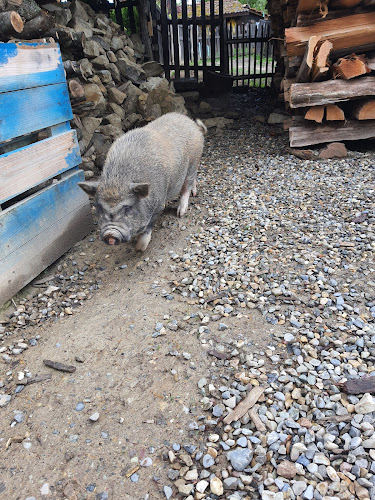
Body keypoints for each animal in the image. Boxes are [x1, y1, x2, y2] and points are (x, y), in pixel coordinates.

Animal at [79, 114, 207, 254]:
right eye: (100, 208)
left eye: (128, 208)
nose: (110, 234)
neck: (117, 182)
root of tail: (192, 123)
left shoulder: (159, 203)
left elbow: (149, 225)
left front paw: (139, 248)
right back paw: (194, 194)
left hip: (193, 161)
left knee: (186, 186)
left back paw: (181, 212)